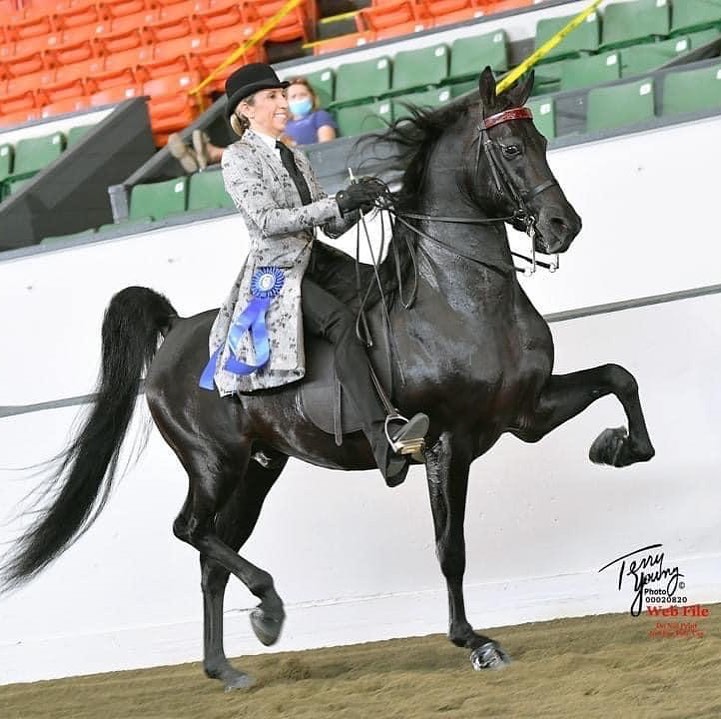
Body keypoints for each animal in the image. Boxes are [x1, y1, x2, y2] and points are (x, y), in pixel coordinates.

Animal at [0, 67, 655, 689]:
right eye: (513, 149)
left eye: (542, 140)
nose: (562, 225)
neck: (460, 300)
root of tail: (176, 330)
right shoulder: (447, 443)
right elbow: (451, 548)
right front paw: (475, 642)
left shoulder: (527, 413)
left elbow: (620, 378)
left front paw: (614, 447)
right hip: (213, 463)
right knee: (191, 530)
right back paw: (267, 604)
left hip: (258, 469)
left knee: (214, 553)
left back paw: (229, 665)